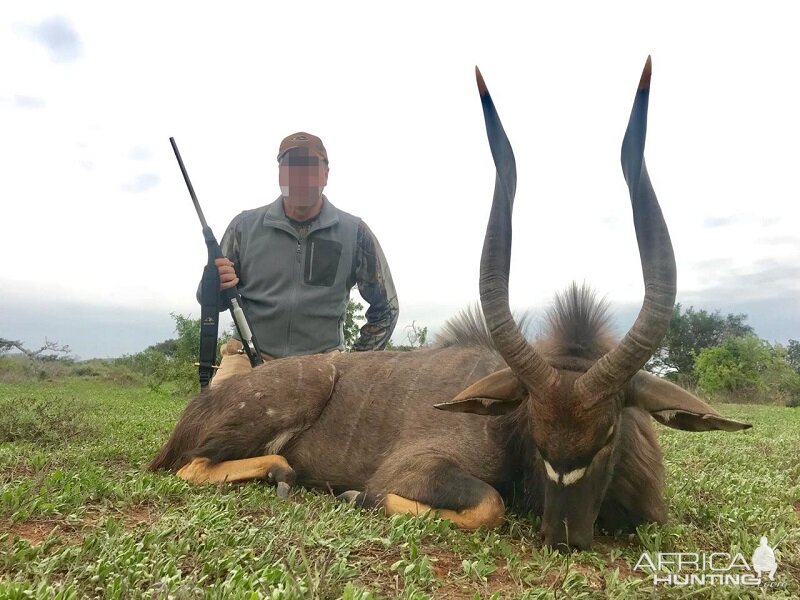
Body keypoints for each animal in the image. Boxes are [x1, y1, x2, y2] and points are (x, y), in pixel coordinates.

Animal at [150, 58, 752, 552]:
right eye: (536, 435)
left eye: (608, 434)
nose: (564, 537)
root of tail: (195, 411)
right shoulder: (419, 468)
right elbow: (488, 504)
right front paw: (355, 496)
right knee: (191, 465)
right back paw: (283, 472)